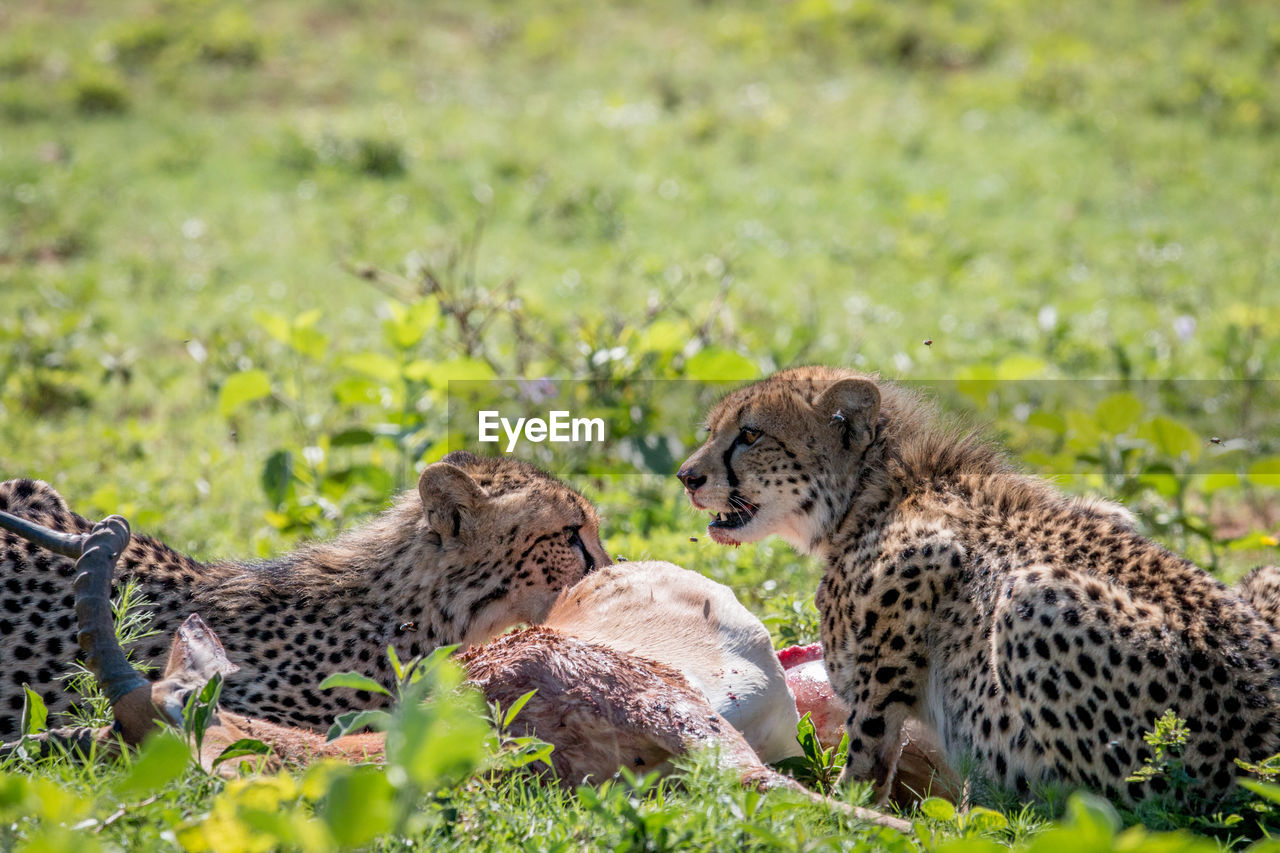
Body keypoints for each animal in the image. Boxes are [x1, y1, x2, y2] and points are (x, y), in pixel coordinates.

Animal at [675, 366, 1274, 804]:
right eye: (711, 431)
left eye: (751, 434)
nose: (686, 476)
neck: (873, 490)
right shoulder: (1109, 510)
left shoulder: (922, 563)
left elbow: (869, 744)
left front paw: (842, 805)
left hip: (1032, 597)